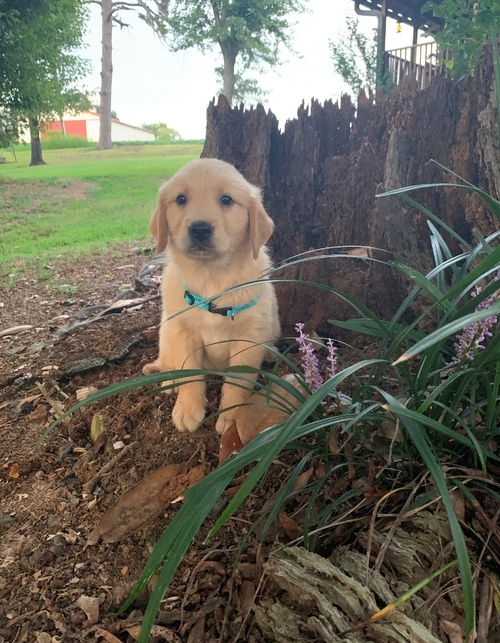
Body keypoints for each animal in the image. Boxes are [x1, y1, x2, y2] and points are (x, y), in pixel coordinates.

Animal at [143, 158, 280, 436]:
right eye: (181, 199)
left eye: (226, 199)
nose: (200, 228)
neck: (211, 277)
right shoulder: (182, 333)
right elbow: (190, 374)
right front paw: (187, 410)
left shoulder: (248, 338)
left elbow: (239, 382)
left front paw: (232, 417)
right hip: (166, 334)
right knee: (168, 362)